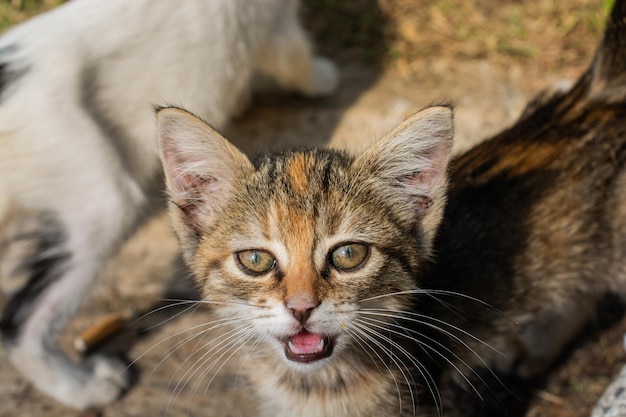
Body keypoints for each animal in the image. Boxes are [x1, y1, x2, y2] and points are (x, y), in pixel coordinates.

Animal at [0, 0, 336, 410]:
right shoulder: (276, 23)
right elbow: (295, 55)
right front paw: (322, 76)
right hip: (98, 197)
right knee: (19, 325)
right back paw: (80, 388)